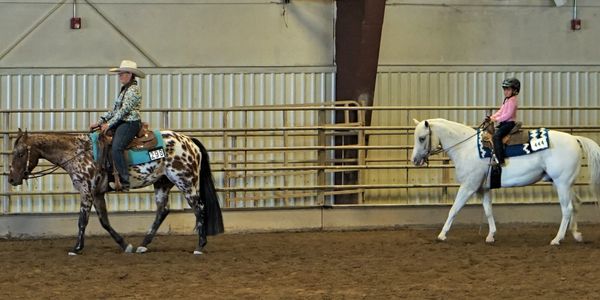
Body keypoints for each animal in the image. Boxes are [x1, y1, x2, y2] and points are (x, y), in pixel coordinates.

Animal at [8, 129, 224, 255]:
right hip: (162, 183)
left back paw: (199, 246)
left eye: (20, 153)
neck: (77, 152)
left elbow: (82, 221)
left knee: (199, 208)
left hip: (186, 181)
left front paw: (76, 248)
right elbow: (104, 221)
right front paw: (124, 245)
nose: (11, 179)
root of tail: (190, 142)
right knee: (162, 211)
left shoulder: (86, 191)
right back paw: (143, 244)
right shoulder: (97, 194)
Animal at [410, 118, 600, 245]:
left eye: (421, 138)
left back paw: (557, 239)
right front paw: (491, 235)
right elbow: (488, 211)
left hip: (561, 183)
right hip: (563, 183)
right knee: (576, 204)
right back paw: (576, 235)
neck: (466, 148)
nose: (415, 160)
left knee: (567, 209)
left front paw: (442, 235)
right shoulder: (483, 189)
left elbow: (454, 210)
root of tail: (574, 139)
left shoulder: (468, 187)